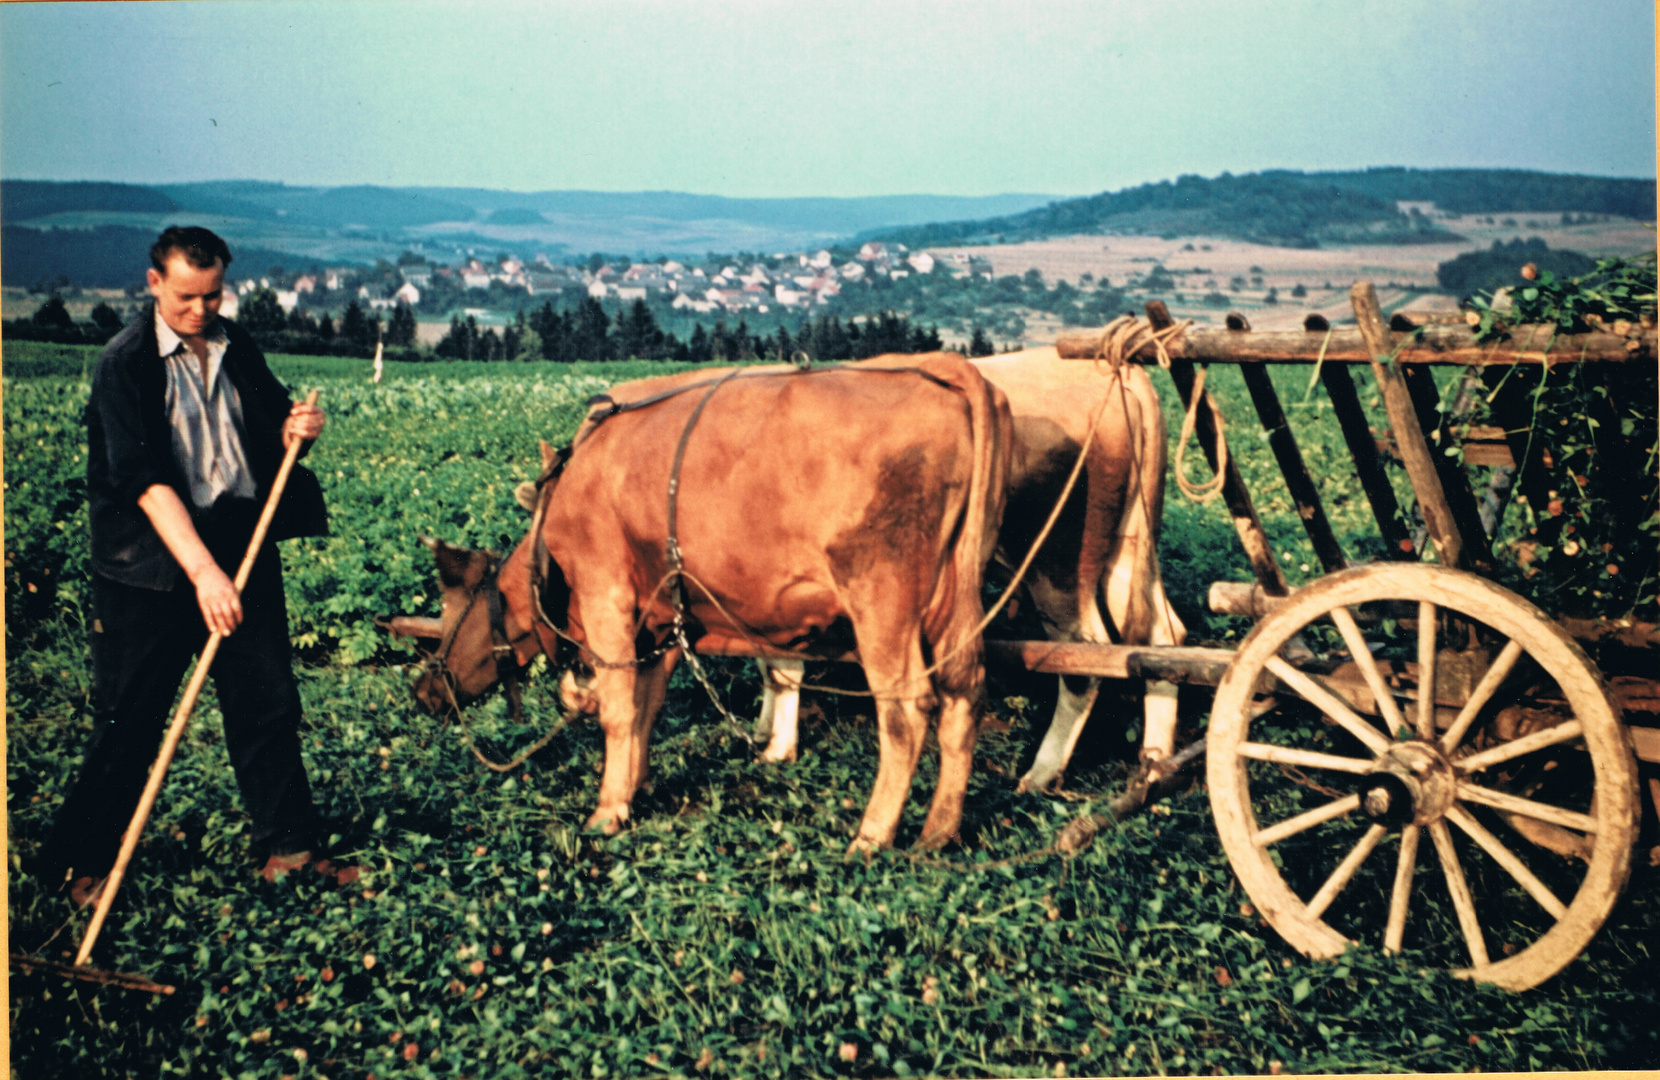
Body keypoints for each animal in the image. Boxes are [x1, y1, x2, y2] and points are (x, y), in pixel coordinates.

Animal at [415, 355, 1009, 856]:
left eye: (445, 610)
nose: (423, 691)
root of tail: (942, 371)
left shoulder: (607, 592)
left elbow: (618, 708)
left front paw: (606, 812)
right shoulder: (660, 620)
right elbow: (646, 706)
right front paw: (634, 788)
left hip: (882, 600)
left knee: (907, 710)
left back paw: (871, 836)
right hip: (955, 600)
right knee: (965, 695)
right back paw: (937, 832)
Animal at [753, 348, 1181, 792]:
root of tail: (1122, 369)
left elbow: (780, 664)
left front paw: (777, 747)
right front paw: (765, 729)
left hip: (1056, 565)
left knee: (1085, 657)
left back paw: (1041, 773)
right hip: (1126, 550)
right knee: (1163, 639)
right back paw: (1155, 763)